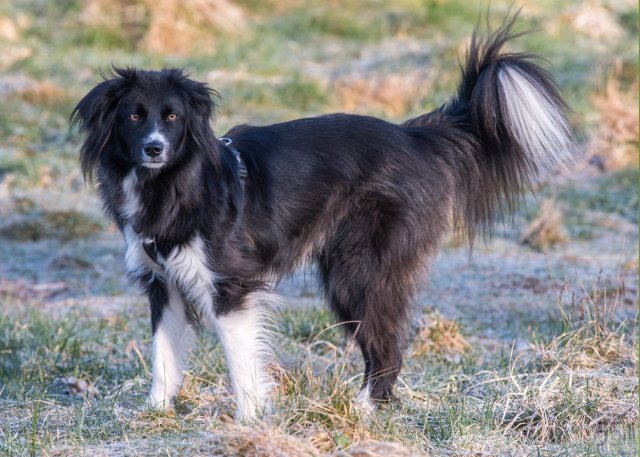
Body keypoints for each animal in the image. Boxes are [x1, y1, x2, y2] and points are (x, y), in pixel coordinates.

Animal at [71, 16, 576, 420]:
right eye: (134, 117)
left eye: (172, 117)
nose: (154, 148)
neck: (170, 184)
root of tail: (417, 138)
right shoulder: (165, 284)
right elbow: (163, 355)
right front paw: (154, 414)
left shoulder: (230, 286)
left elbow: (241, 360)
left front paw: (251, 419)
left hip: (357, 269)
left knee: (387, 346)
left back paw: (363, 408)